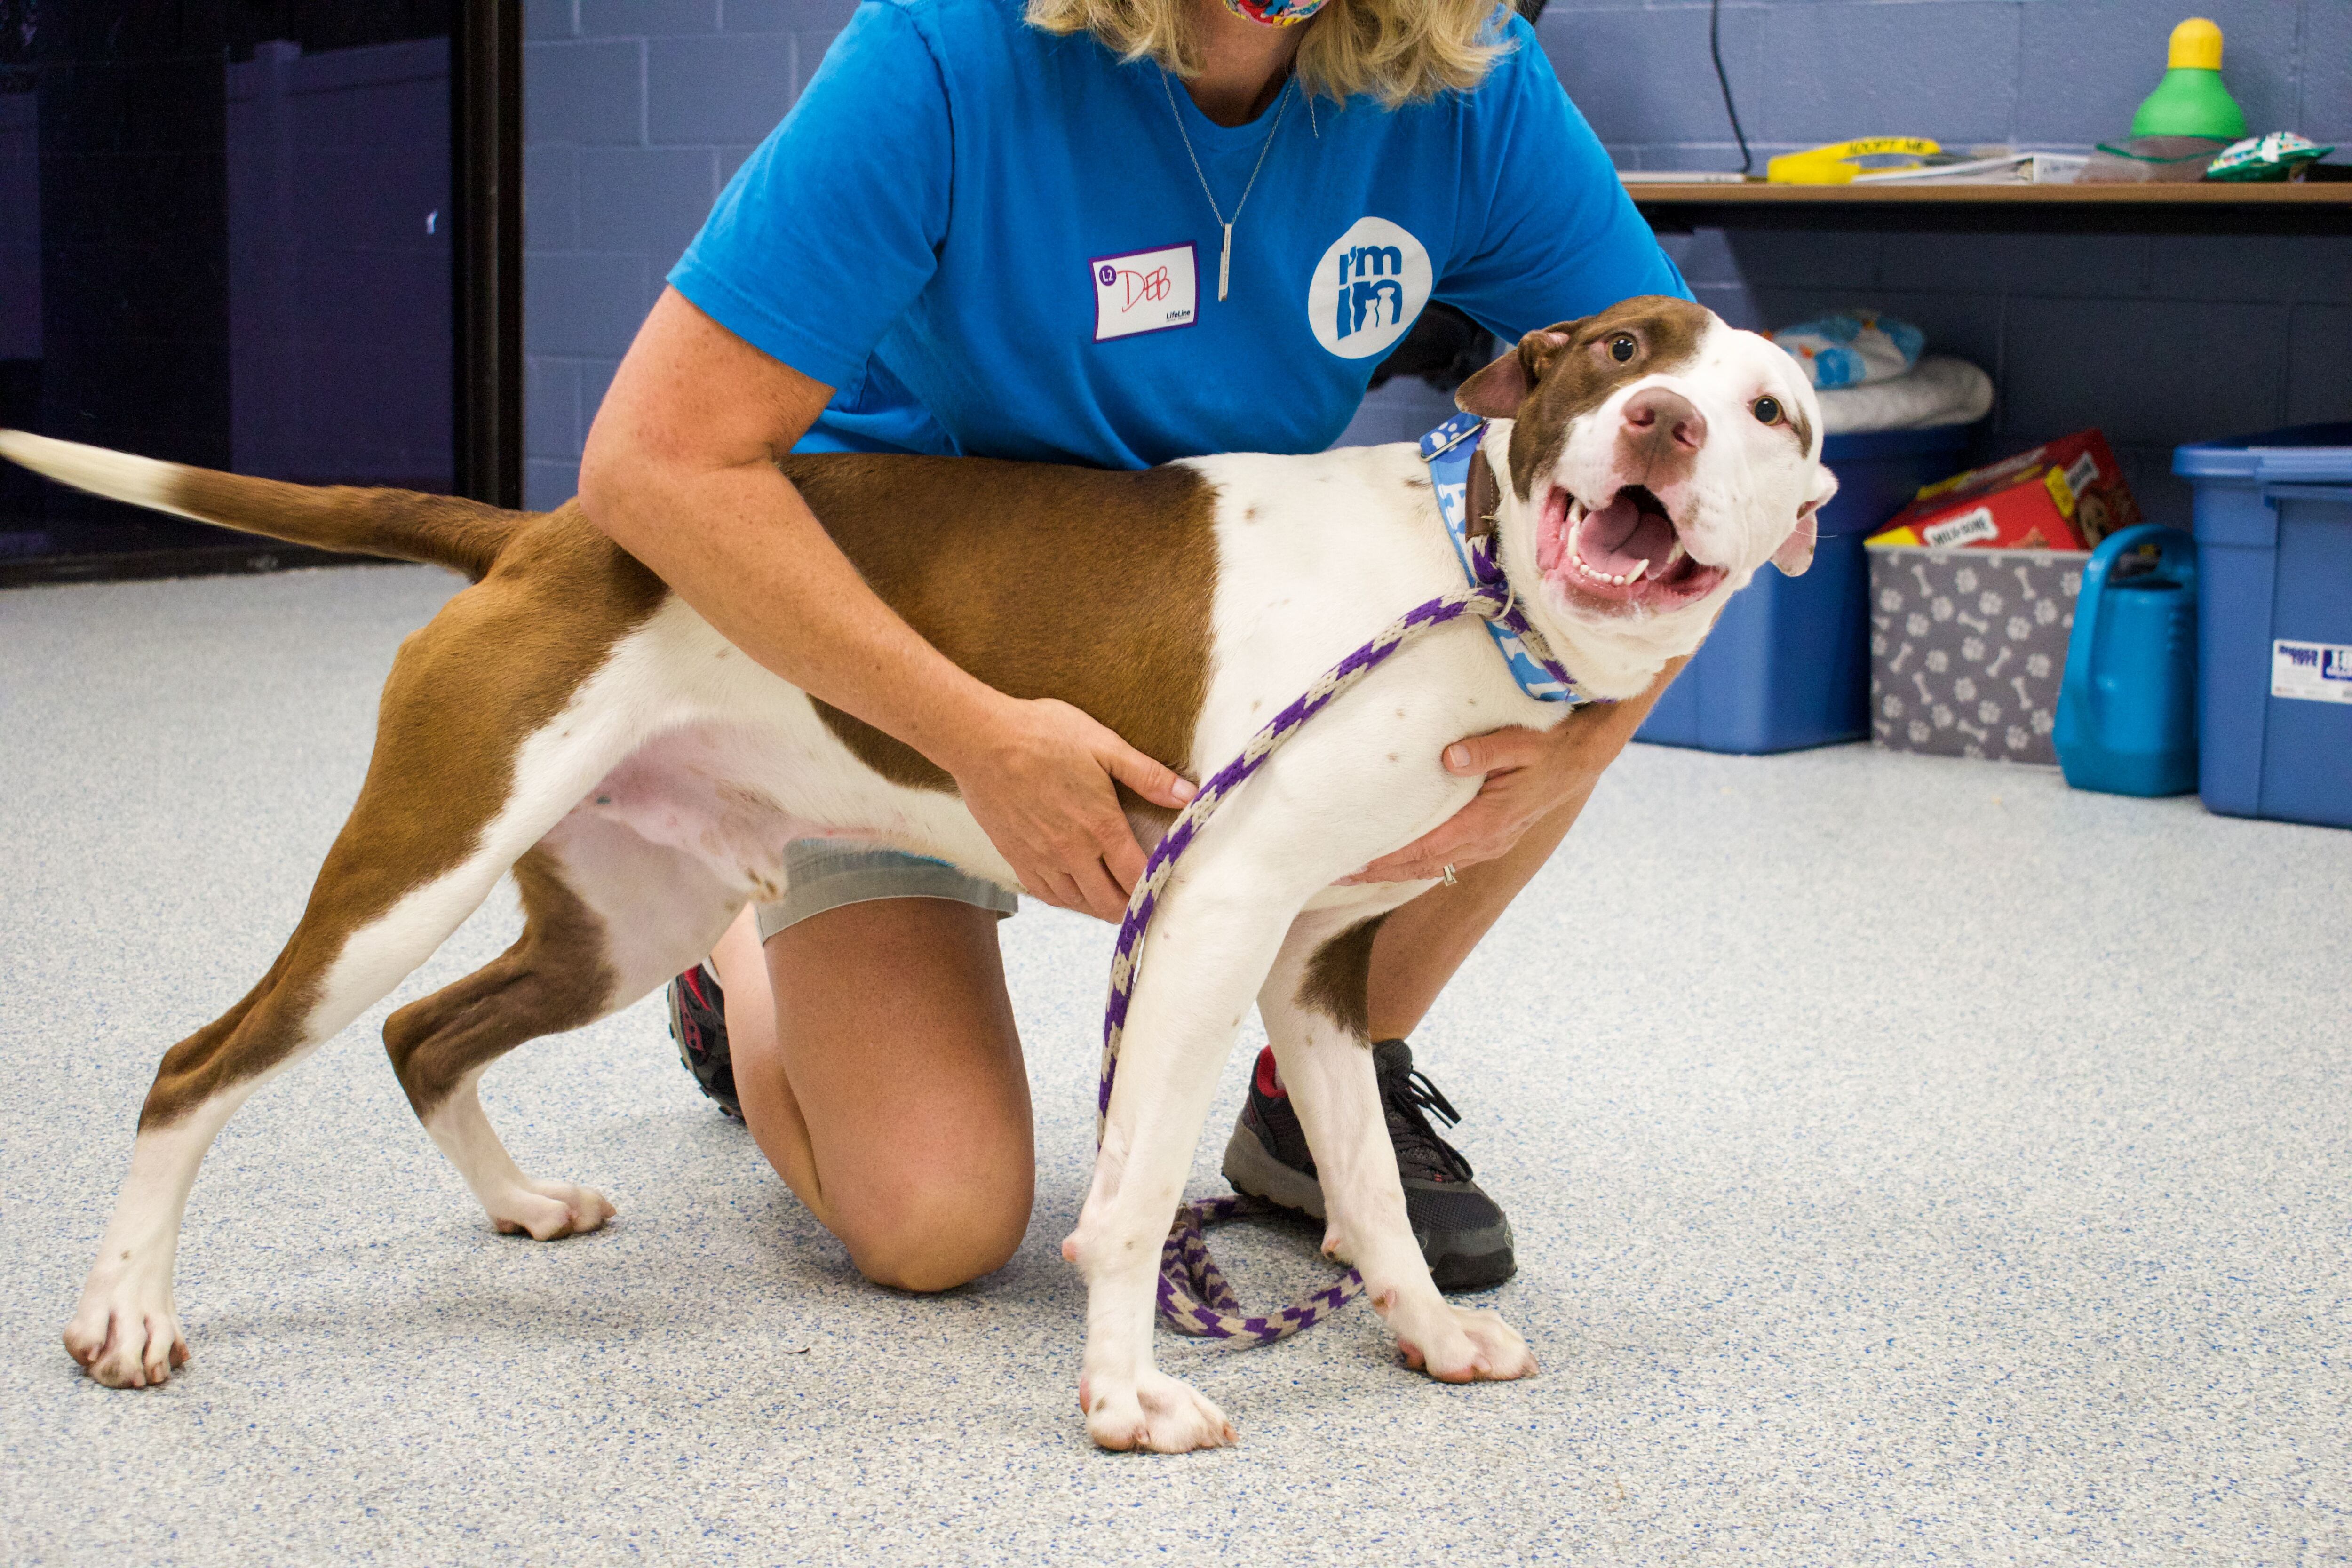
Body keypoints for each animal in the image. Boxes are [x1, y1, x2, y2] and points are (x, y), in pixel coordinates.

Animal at [3, 295, 1833, 1453]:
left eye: (1772, 412)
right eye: (1616, 353)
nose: (1660, 423)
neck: (1462, 577)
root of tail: (546, 530)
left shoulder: (1313, 961)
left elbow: (1369, 1180)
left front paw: (1425, 1330)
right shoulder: (1212, 915)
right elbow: (1132, 1196)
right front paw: (1123, 1398)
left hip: (621, 910)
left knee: (423, 1035)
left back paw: (519, 1203)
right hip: (422, 854)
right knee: (199, 1063)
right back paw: (129, 1316)